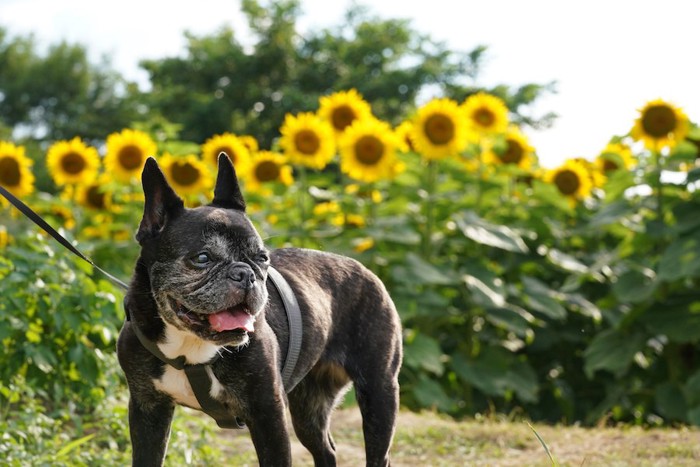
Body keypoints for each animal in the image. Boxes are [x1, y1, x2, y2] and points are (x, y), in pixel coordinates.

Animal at [117, 155, 404, 466]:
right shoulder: (148, 411)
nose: (245, 274)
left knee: (378, 452)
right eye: (202, 258)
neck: (190, 349)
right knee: (324, 450)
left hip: (379, 392)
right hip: (309, 407)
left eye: (262, 258)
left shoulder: (268, 415)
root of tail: (366, 270)